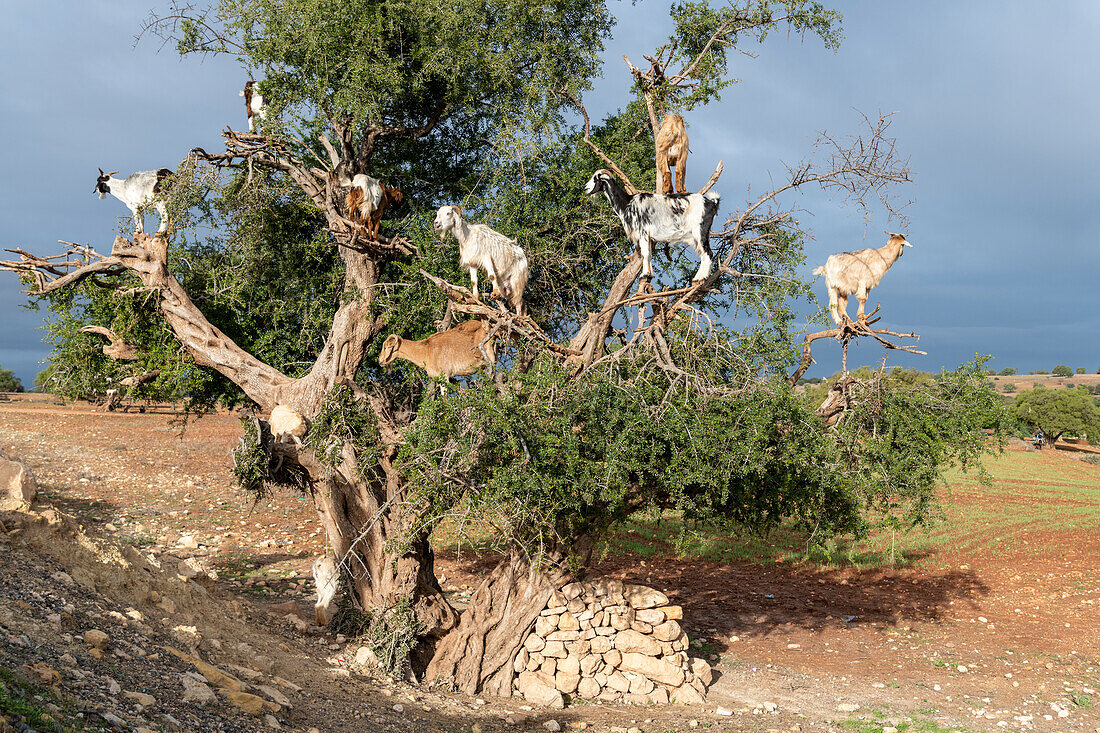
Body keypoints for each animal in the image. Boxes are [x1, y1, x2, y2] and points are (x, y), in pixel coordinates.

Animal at [585, 167, 721, 280]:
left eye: (595, 178)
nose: (585, 188)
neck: (627, 203)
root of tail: (712, 203)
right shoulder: (649, 237)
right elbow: (649, 254)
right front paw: (649, 274)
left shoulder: (643, 233)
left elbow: (645, 254)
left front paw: (644, 275)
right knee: (703, 254)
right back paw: (698, 277)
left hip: (700, 230)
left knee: (708, 253)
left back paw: (701, 278)